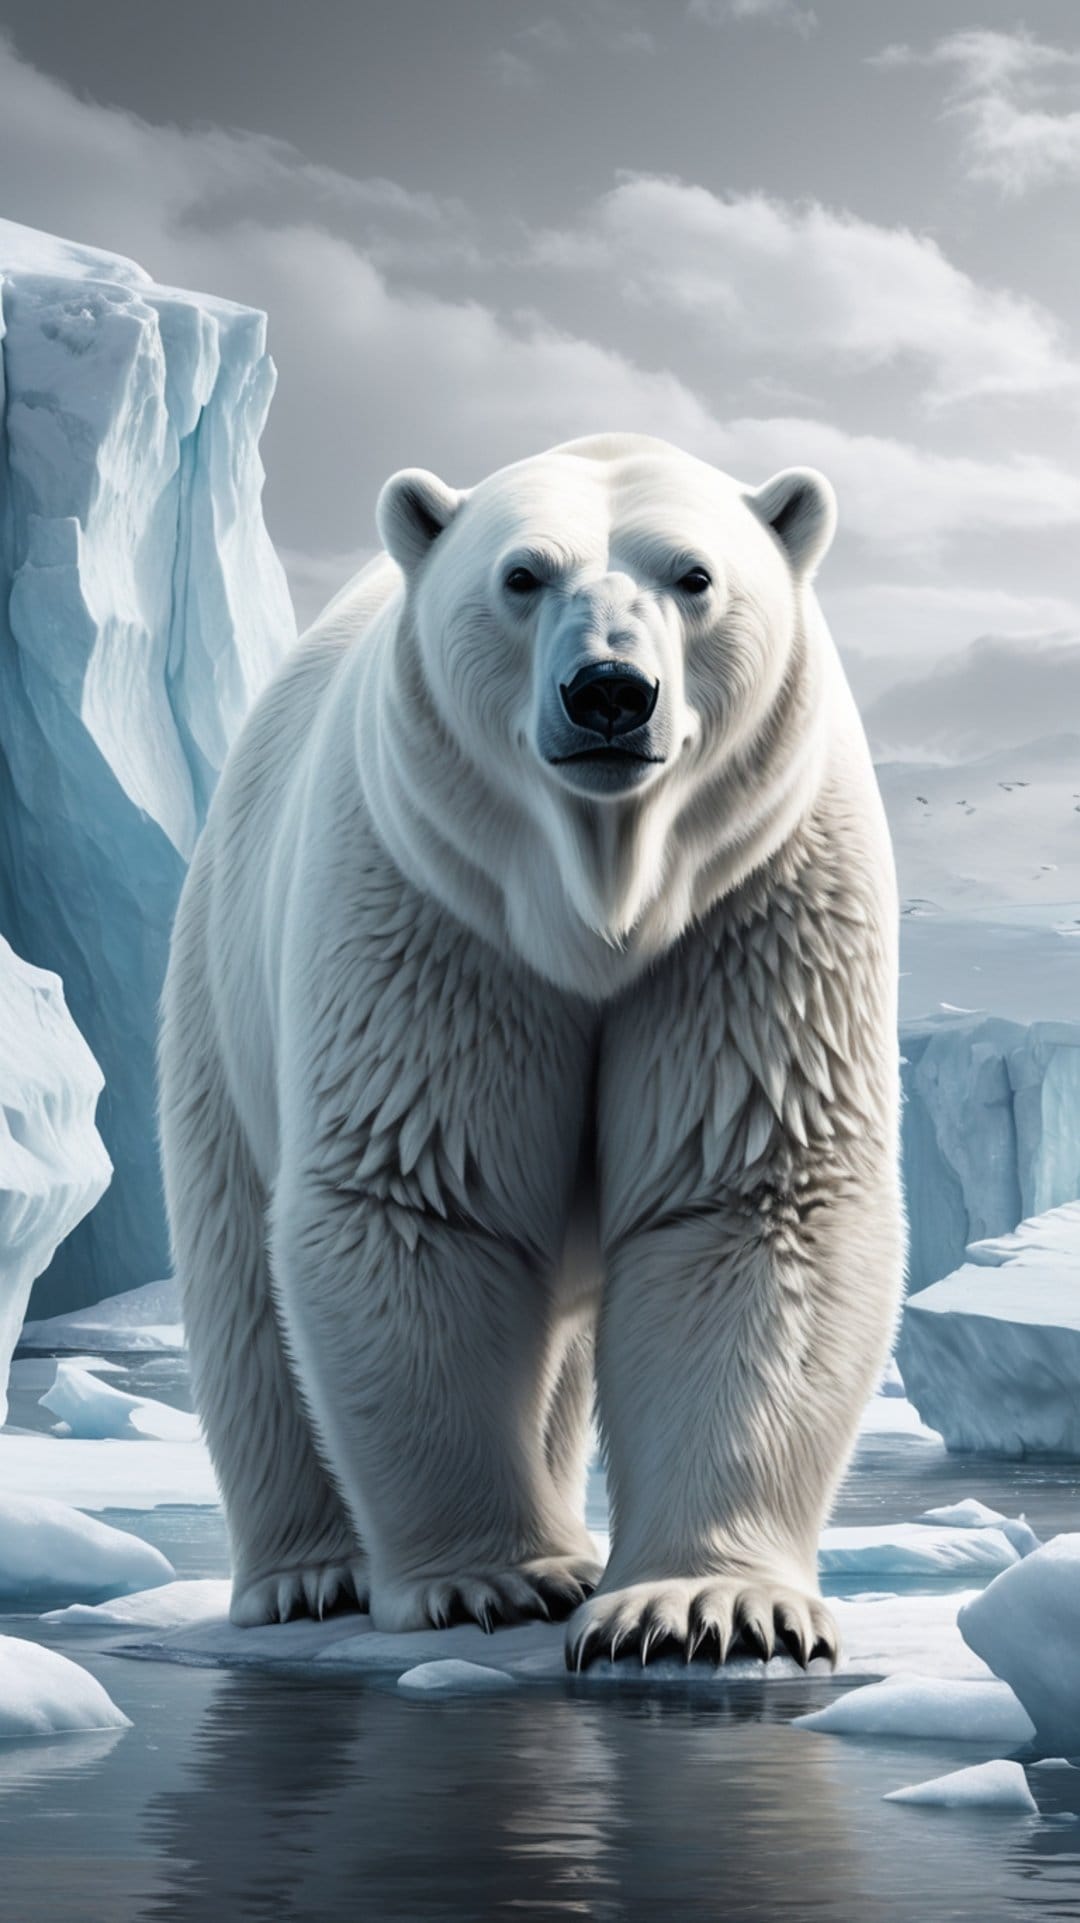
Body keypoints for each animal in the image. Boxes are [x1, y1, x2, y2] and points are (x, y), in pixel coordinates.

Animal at [158, 432, 904, 1669]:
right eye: (522, 575)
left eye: (694, 576)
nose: (609, 691)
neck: (601, 893)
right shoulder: (430, 900)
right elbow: (421, 1194)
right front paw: (498, 1581)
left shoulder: (758, 896)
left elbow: (747, 1198)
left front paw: (702, 1607)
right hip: (220, 996)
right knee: (241, 1289)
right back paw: (309, 1574)